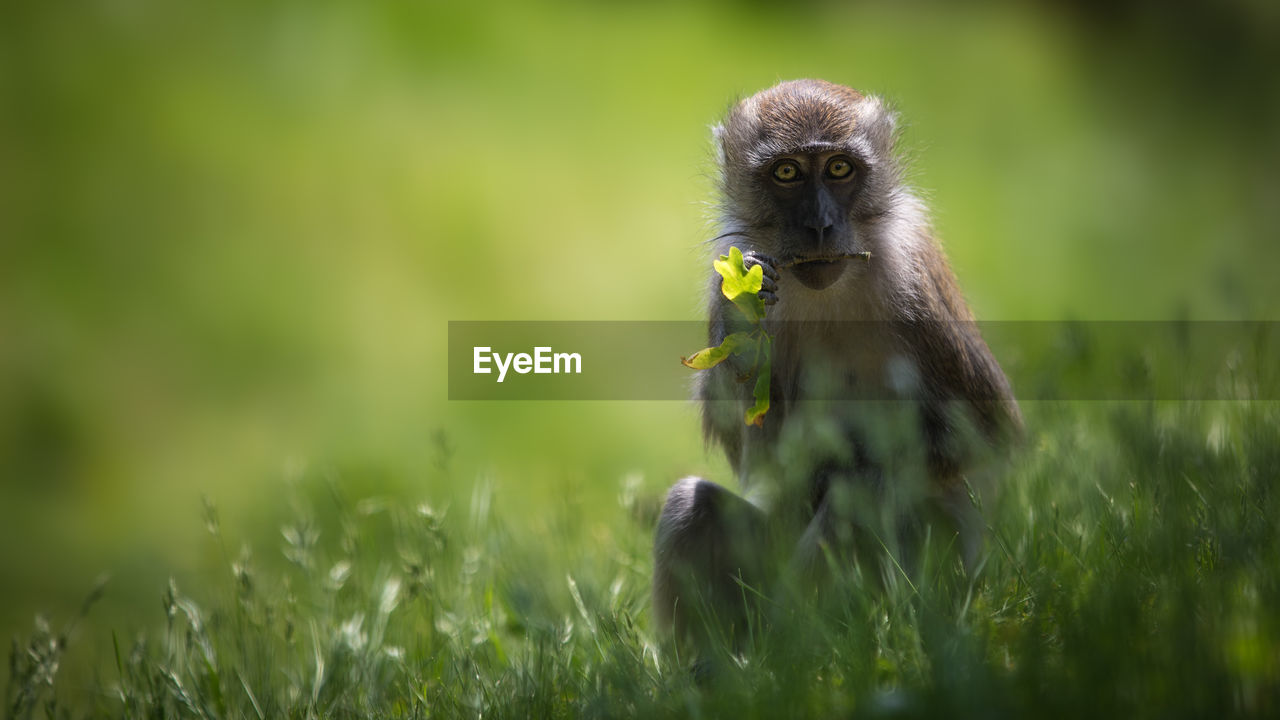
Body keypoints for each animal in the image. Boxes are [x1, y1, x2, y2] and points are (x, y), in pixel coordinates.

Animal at [650, 79, 1018, 650]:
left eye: (839, 168)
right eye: (787, 172)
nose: (820, 224)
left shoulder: (915, 281)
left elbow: (986, 431)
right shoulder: (726, 266)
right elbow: (757, 451)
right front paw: (744, 310)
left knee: (865, 491)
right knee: (692, 505)